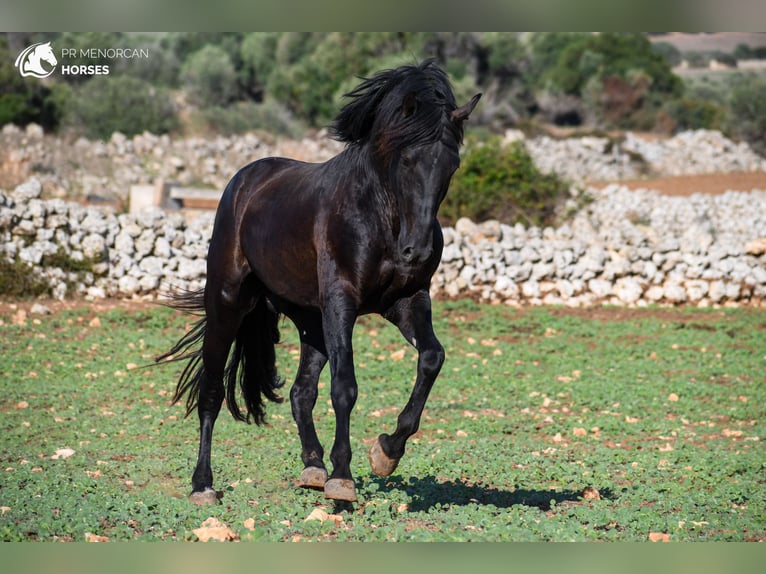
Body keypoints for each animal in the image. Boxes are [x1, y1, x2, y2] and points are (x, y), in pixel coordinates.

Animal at [160, 60, 480, 506]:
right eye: (407, 161)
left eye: (451, 165)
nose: (415, 250)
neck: (376, 213)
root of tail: (244, 182)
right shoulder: (341, 302)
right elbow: (345, 387)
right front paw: (343, 479)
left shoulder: (406, 300)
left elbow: (432, 358)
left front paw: (385, 452)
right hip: (227, 303)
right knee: (211, 390)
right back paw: (203, 484)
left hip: (311, 321)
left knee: (300, 392)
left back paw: (312, 467)